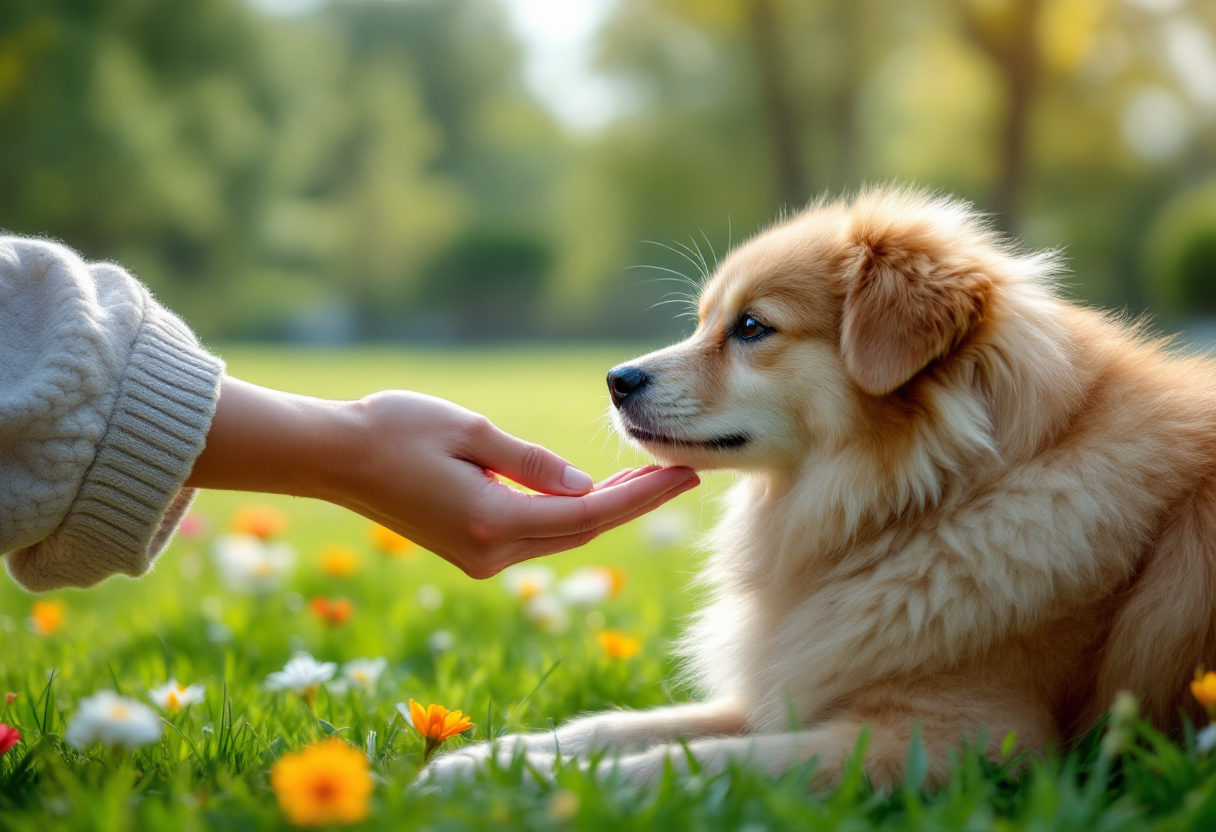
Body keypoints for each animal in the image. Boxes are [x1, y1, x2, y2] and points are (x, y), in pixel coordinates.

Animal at [428, 187, 1216, 788]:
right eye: (706, 321)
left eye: (751, 326)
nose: (616, 380)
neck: (936, 499)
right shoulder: (799, 677)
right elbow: (621, 727)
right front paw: (485, 761)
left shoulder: (967, 739)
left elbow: (701, 761)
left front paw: (536, 786)